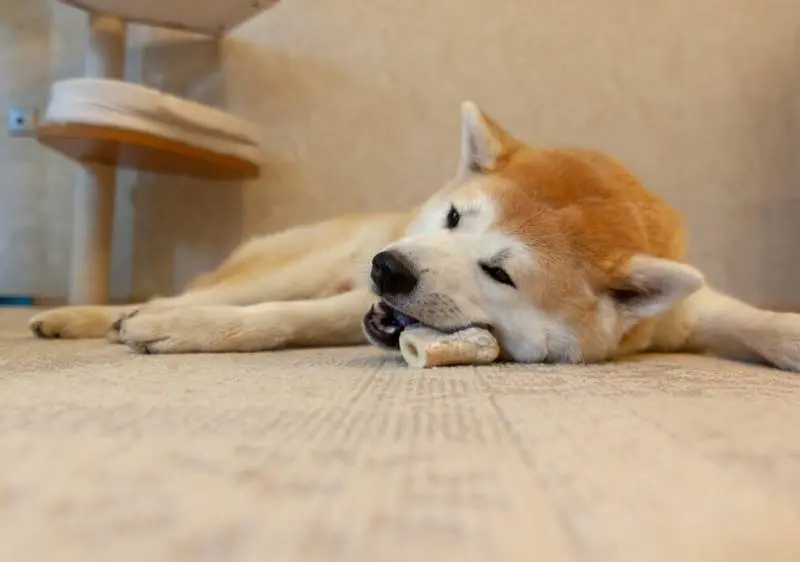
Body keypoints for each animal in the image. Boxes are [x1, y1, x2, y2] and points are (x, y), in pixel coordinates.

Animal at [28, 103, 800, 370]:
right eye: (455, 218)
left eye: (501, 272)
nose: (389, 268)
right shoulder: (345, 296)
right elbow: (277, 319)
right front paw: (183, 330)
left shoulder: (683, 310)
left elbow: (753, 319)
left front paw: (786, 337)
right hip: (300, 263)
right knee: (187, 294)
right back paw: (90, 316)